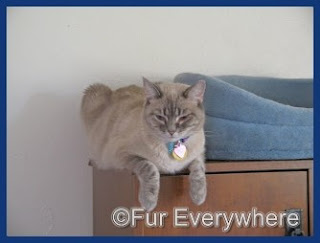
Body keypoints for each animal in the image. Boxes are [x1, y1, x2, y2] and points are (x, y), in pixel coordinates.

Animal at [81, 77, 206, 211]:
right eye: (160, 117)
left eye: (183, 117)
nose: (171, 131)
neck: (171, 145)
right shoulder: (123, 155)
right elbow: (150, 167)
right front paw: (148, 202)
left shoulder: (199, 155)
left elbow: (199, 170)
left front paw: (198, 197)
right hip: (94, 91)